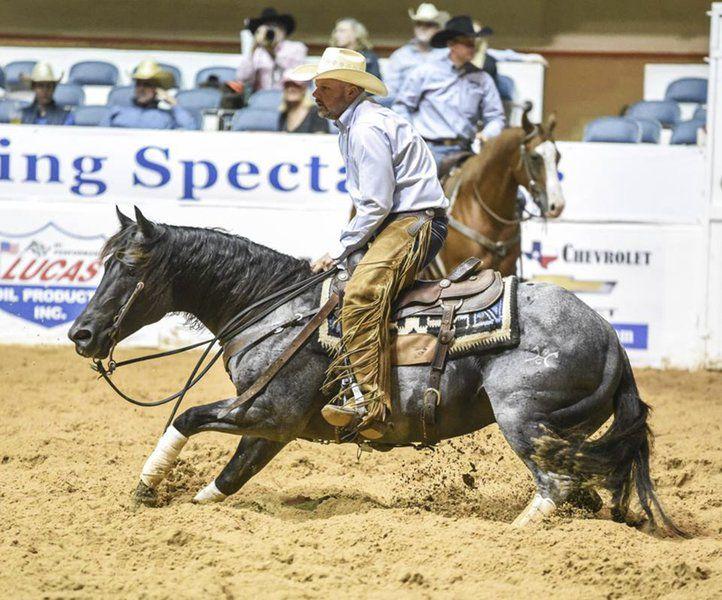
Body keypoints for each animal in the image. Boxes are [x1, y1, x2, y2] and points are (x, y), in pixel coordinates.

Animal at [68, 207, 682, 535]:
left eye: (128, 266)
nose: (81, 335)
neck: (276, 308)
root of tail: (613, 340)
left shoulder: (270, 411)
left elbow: (188, 418)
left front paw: (147, 488)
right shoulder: (275, 428)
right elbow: (230, 477)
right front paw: (180, 502)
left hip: (524, 419)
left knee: (557, 484)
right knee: (581, 484)